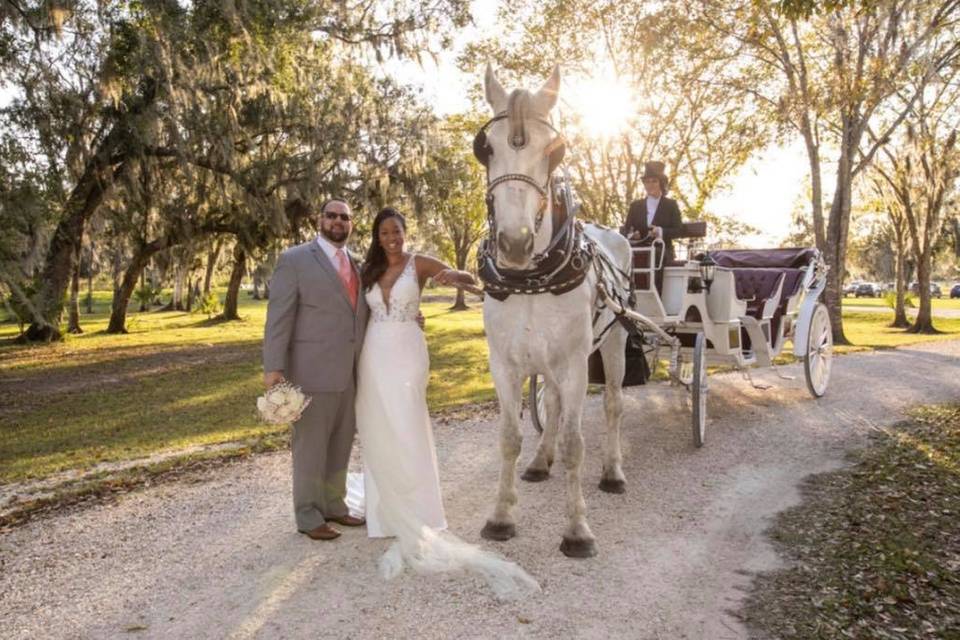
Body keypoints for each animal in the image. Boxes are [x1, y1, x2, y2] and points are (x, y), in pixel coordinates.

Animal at [476, 62, 632, 556]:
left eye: (553, 151)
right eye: (486, 149)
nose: (514, 243)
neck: (531, 279)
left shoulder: (575, 363)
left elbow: (574, 443)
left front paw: (577, 528)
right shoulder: (504, 363)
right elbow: (509, 437)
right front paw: (501, 515)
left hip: (615, 342)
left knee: (614, 404)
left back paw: (613, 472)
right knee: (555, 405)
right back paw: (539, 462)